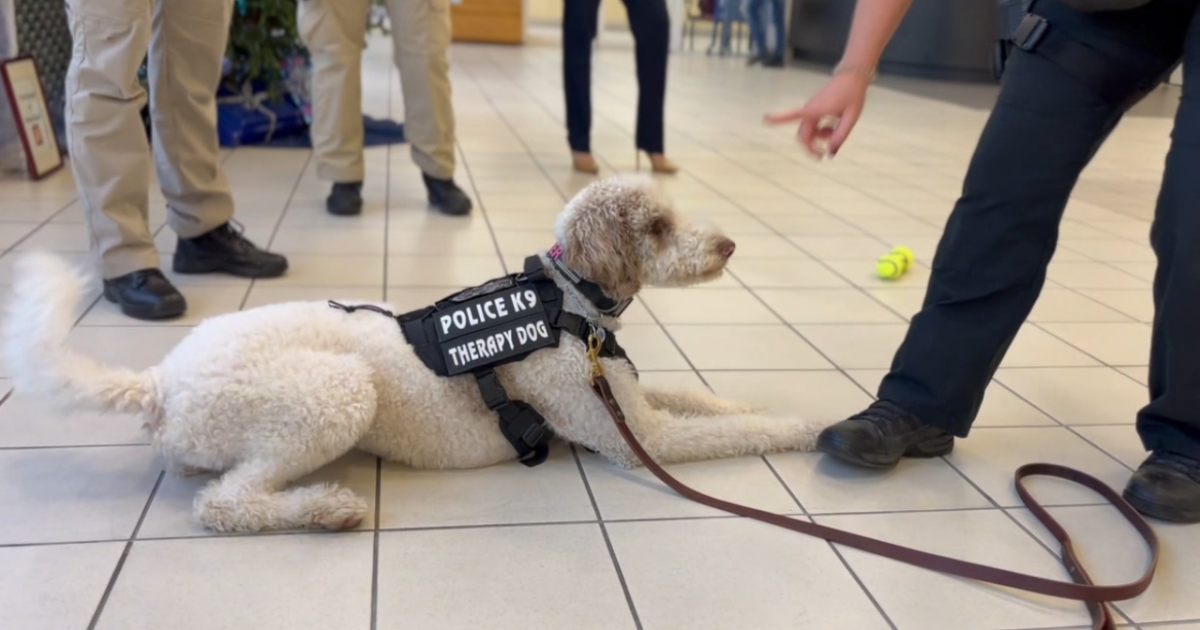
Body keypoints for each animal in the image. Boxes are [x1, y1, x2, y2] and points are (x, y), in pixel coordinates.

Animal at [2, 174, 825, 532]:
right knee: (224, 505)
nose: (728, 245)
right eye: (655, 226)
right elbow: (728, 432)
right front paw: (804, 427)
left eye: (673, 213)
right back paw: (324, 508)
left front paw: (762, 402)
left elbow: (708, 401)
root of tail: (157, 381)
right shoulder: (635, 436)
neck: (567, 306)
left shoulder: (630, 399)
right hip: (335, 393)